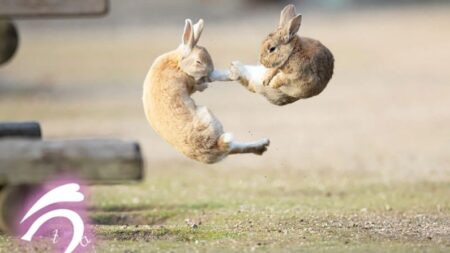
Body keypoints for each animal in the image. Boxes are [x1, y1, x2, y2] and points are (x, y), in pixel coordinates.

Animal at [142, 18, 268, 164]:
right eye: (198, 61)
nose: (209, 72)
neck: (178, 63)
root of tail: (214, 147)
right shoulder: (191, 82)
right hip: (207, 114)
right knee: (231, 145)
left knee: (234, 148)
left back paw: (263, 144)